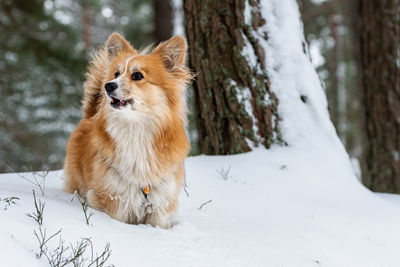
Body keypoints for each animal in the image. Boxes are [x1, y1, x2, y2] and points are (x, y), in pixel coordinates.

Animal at [63, 33, 191, 229]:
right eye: (116, 74)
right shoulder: (114, 199)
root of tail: (88, 116)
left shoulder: (159, 206)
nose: (108, 85)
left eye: (137, 75)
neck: (135, 128)